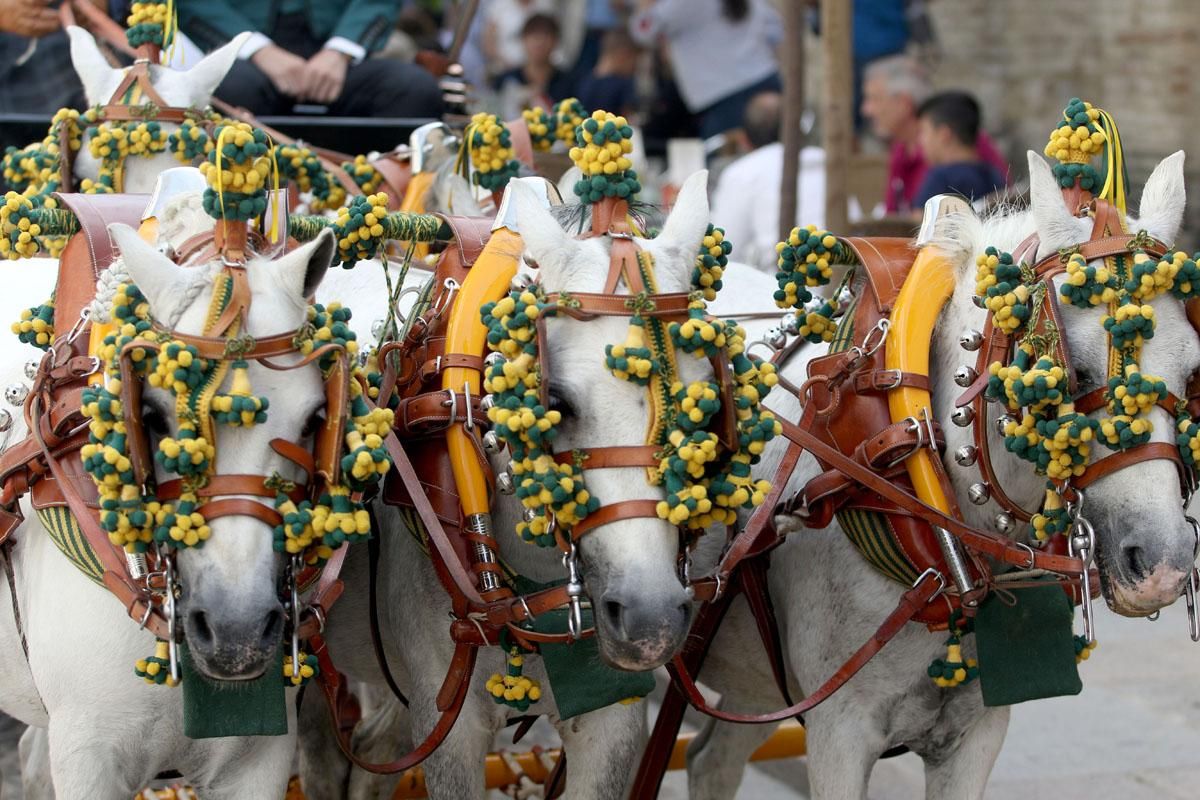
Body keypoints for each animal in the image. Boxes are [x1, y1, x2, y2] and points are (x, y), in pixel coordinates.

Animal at [686, 148, 1200, 796]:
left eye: (1191, 372)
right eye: (1073, 374)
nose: (1163, 565)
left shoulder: (977, 732)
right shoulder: (839, 733)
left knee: (711, 761)